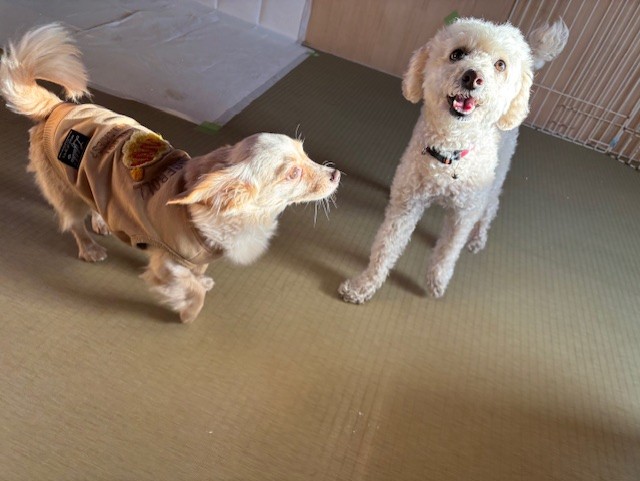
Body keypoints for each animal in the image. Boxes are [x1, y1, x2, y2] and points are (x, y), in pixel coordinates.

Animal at [0, 23, 340, 322]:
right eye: (293, 174)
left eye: (306, 153)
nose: (335, 175)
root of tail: (57, 108)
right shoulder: (167, 263)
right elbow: (188, 286)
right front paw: (189, 311)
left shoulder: (197, 257)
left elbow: (198, 273)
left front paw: (202, 283)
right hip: (64, 192)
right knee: (73, 222)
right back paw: (90, 248)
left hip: (89, 178)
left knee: (93, 200)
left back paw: (101, 221)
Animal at [339, 18, 568, 304]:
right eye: (457, 54)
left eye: (500, 64)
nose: (472, 77)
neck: (450, 149)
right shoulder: (407, 204)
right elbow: (385, 248)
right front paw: (363, 285)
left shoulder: (464, 212)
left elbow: (448, 250)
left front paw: (437, 280)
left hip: (496, 176)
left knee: (491, 207)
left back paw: (478, 238)